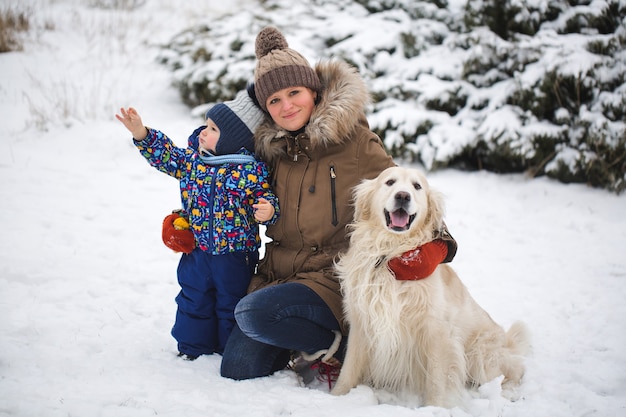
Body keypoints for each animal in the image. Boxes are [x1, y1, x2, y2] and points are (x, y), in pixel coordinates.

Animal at [330, 166, 528, 406]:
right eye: (390, 182)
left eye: (417, 186)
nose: (403, 196)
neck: (392, 254)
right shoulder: (361, 324)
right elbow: (349, 369)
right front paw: (335, 397)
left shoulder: (436, 332)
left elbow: (436, 378)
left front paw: (434, 407)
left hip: (480, 356)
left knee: (516, 368)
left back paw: (508, 392)